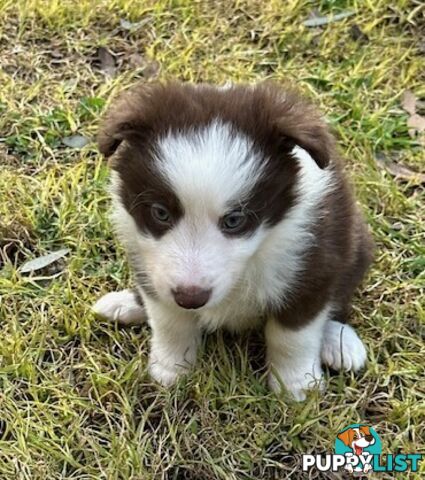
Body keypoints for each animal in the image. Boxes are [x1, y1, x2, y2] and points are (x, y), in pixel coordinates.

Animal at [92, 82, 372, 402]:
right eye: (160, 213)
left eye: (234, 220)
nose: (191, 298)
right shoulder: (150, 264)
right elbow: (169, 320)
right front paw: (172, 369)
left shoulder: (312, 266)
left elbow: (292, 336)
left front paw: (295, 386)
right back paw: (125, 304)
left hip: (355, 245)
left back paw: (339, 341)